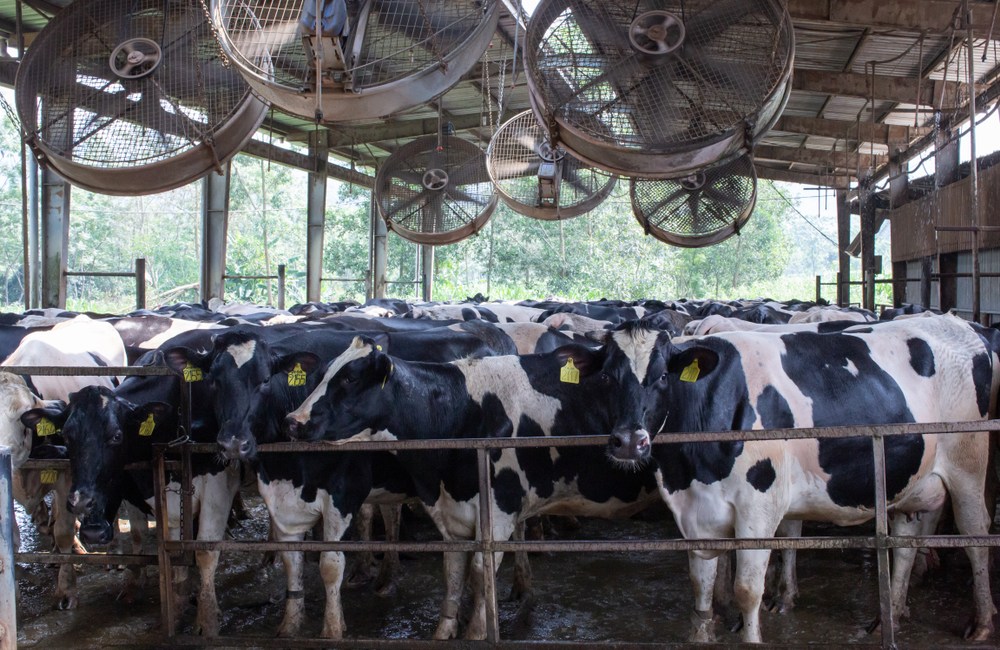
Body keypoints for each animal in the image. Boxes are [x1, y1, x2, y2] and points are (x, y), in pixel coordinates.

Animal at [282, 330, 668, 636]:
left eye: (349, 379)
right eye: (322, 374)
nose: (293, 420)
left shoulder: (498, 512)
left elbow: (482, 574)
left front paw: (479, 631)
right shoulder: (451, 512)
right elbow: (453, 573)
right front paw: (445, 630)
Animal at [604, 312, 996, 640]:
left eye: (662, 376)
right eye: (607, 377)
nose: (629, 441)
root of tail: (957, 322)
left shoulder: (758, 507)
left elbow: (747, 590)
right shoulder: (695, 512)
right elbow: (700, 587)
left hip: (968, 463)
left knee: (976, 534)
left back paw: (981, 622)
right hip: (907, 477)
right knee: (903, 543)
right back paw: (891, 616)